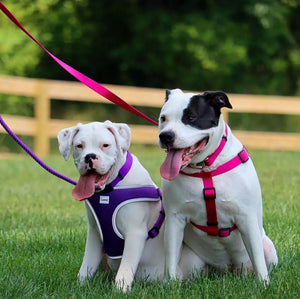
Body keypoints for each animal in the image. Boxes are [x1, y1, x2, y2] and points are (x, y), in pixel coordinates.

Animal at [57, 120, 165, 292]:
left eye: (105, 145)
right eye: (79, 146)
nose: (90, 156)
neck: (110, 189)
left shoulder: (135, 233)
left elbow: (126, 266)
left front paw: (120, 290)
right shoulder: (94, 232)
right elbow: (87, 264)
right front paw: (80, 286)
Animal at [158, 89, 278, 286]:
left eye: (191, 117)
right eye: (163, 118)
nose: (166, 136)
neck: (206, 169)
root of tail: (228, 270)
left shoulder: (247, 218)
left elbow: (259, 260)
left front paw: (263, 285)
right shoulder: (175, 219)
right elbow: (170, 258)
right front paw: (170, 285)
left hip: (267, 247)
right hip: (193, 261)